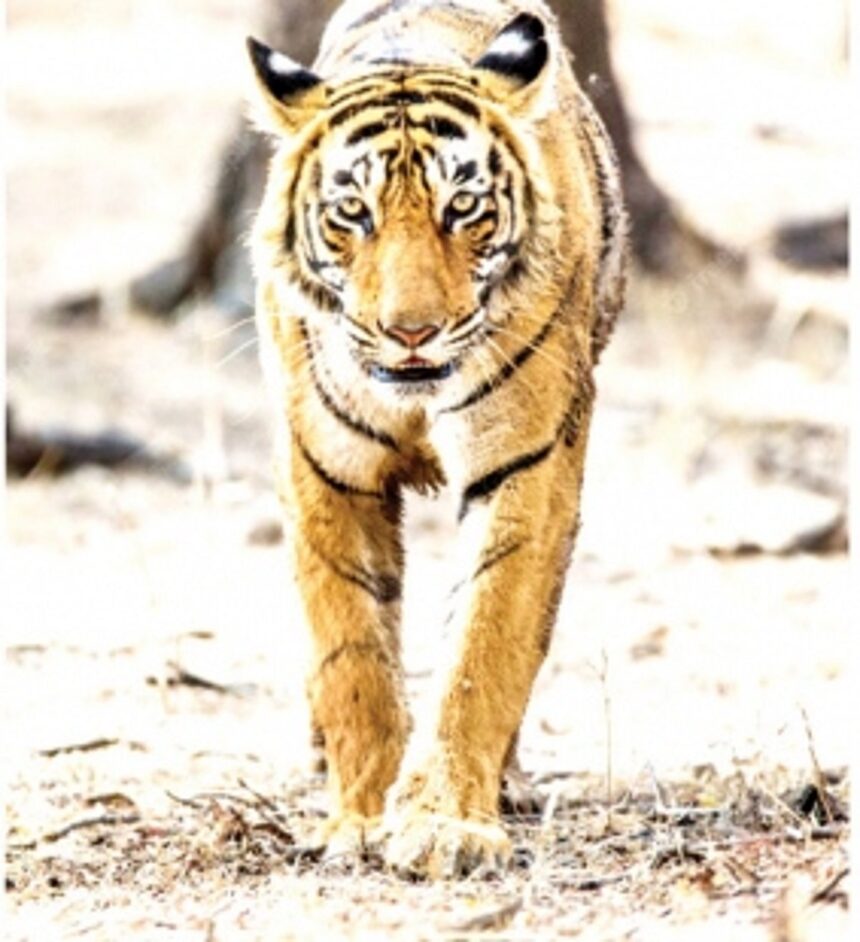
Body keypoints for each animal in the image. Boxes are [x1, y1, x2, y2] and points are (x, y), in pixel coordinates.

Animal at [247, 0, 626, 879]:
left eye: (463, 208)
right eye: (353, 213)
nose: (410, 332)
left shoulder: (526, 464)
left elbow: (484, 646)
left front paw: (444, 822)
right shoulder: (324, 468)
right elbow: (352, 652)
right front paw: (357, 819)